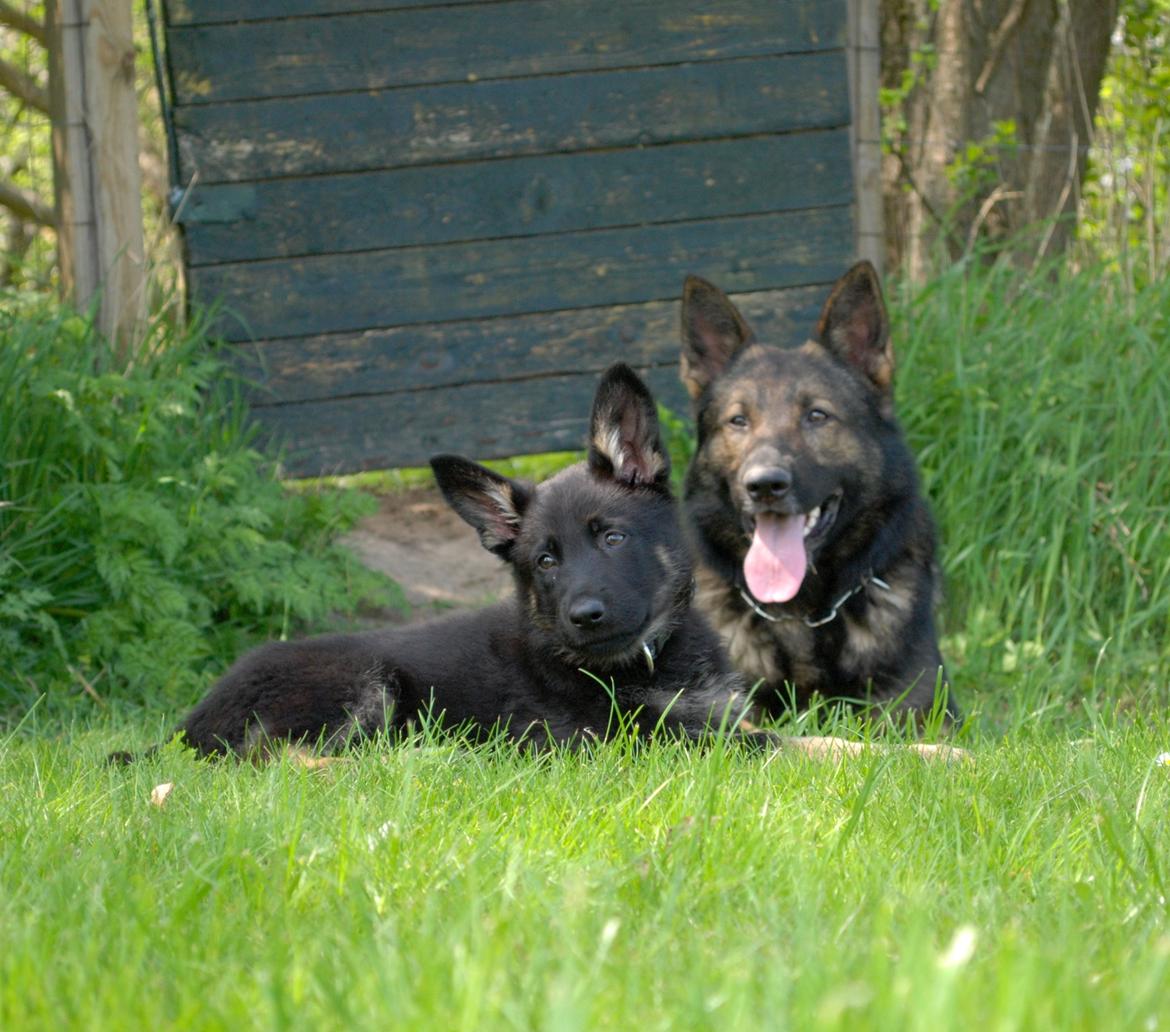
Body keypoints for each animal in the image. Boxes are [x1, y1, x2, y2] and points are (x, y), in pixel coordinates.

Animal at [136, 365, 767, 758]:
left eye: (613, 538)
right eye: (545, 560)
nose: (584, 616)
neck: (645, 658)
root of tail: (184, 732)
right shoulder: (629, 739)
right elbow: (771, 744)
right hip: (364, 684)